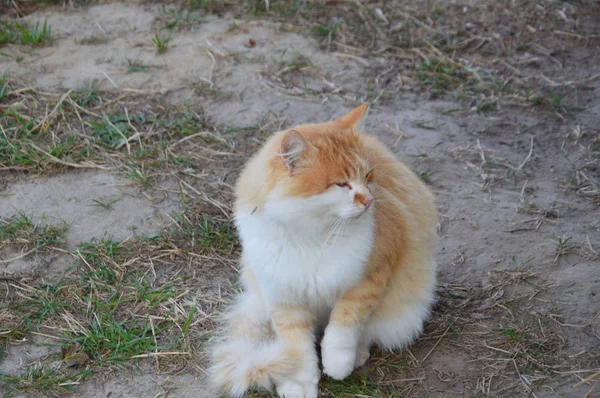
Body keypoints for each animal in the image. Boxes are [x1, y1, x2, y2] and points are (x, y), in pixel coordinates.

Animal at [210, 103, 436, 398]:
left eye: (367, 176)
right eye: (342, 184)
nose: (369, 200)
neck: (311, 234)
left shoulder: (368, 279)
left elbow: (343, 327)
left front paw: (337, 364)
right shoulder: (283, 298)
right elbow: (298, 349)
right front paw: (298, 383)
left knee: (368, 333)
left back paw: (358, 355)